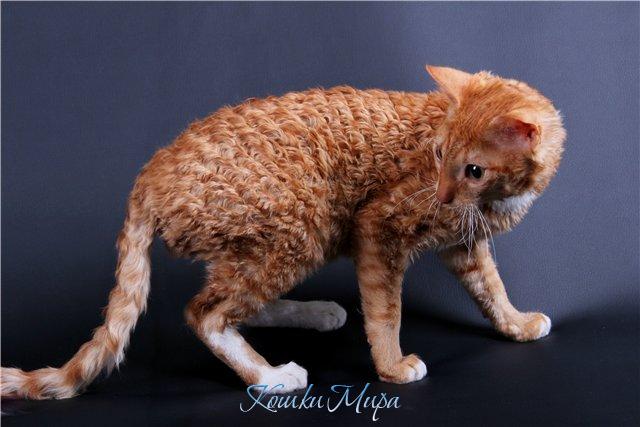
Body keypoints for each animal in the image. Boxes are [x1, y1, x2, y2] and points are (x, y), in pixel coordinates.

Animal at [1, 66, 566, 399]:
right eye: (439, 154)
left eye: (473, 171)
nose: (443, 195)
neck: (495, 201)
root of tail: (153, 170)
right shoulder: (379, 227)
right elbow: (386, 311)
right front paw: (391, 367)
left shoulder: (464, 244)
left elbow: (491, 288)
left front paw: (515, 324)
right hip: (301, 222)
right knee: (206, 313)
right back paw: (271, 377)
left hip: (281, 239)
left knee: (235, 298)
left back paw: (315, 314)